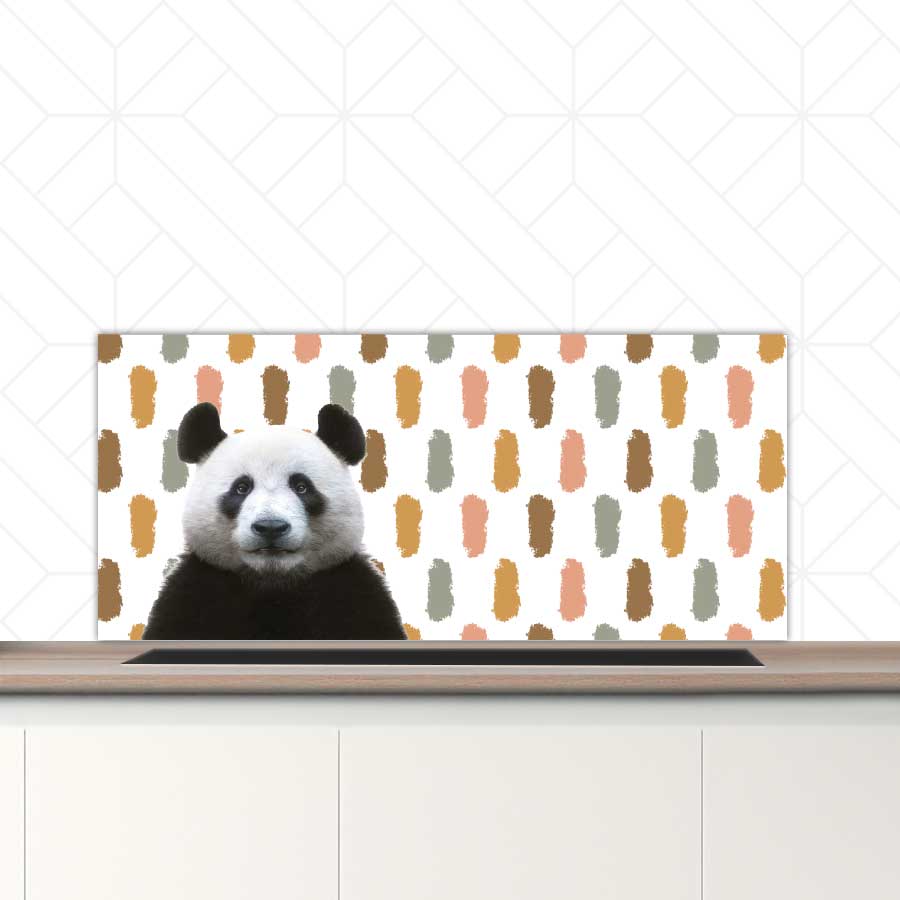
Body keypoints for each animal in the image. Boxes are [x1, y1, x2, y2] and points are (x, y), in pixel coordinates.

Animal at [142, 401, 406, 640]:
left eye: (301, 487)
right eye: (241, 487)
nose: (270, 527)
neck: (272, 585)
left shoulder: (352, 592)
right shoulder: (195, 592)